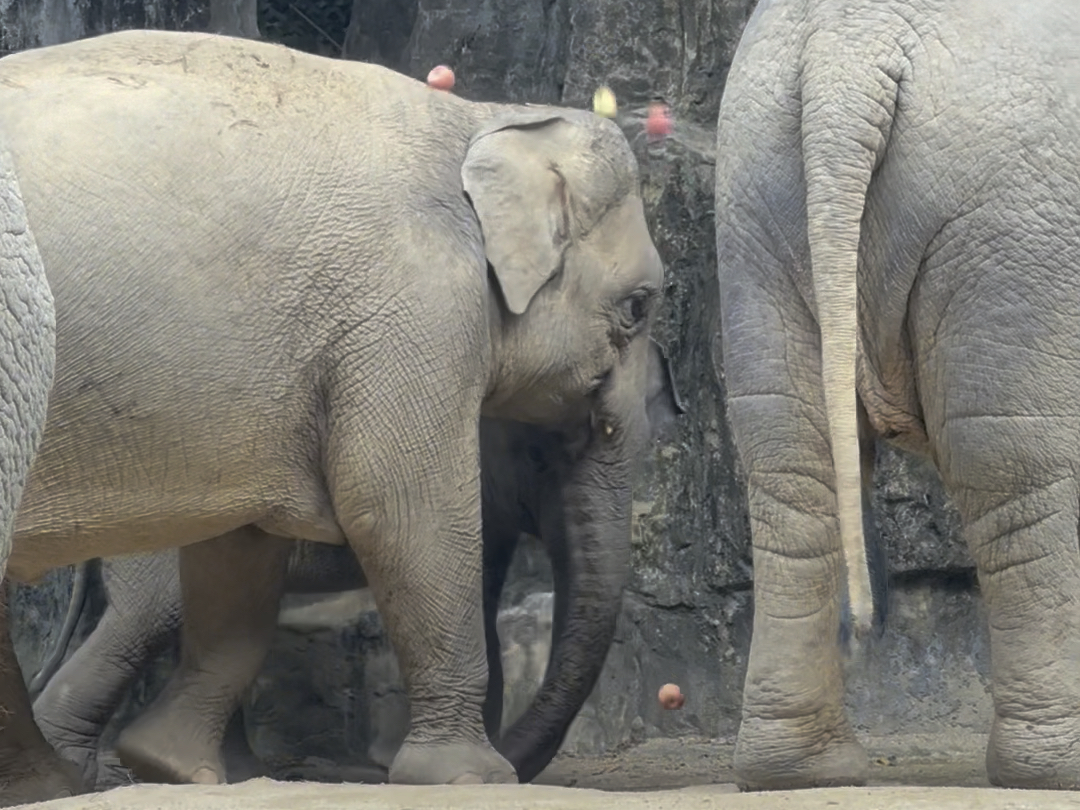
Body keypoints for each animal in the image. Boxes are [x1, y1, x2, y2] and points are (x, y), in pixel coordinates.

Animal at [717, 0, 1080, 794]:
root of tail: (848, 53)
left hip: (754, 203)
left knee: (791, 464)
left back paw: (804, 771)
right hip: (1013, 229)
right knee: (1013, 463)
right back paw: (1051, 768)